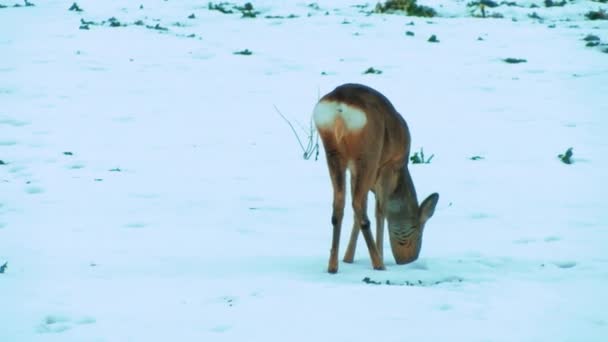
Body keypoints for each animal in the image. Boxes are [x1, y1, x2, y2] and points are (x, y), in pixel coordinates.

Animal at [314, 83, 436, 272]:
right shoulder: (389, 165)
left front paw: (348, 258)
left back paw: (333, 266)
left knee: (341, 203)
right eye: (419, 231)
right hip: (368, 154)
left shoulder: (353, 171)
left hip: (333, 152)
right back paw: (379, 264)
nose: (409, 260)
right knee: (358, 206)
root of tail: (340, 105)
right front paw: (380, 255)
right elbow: (380, 210)